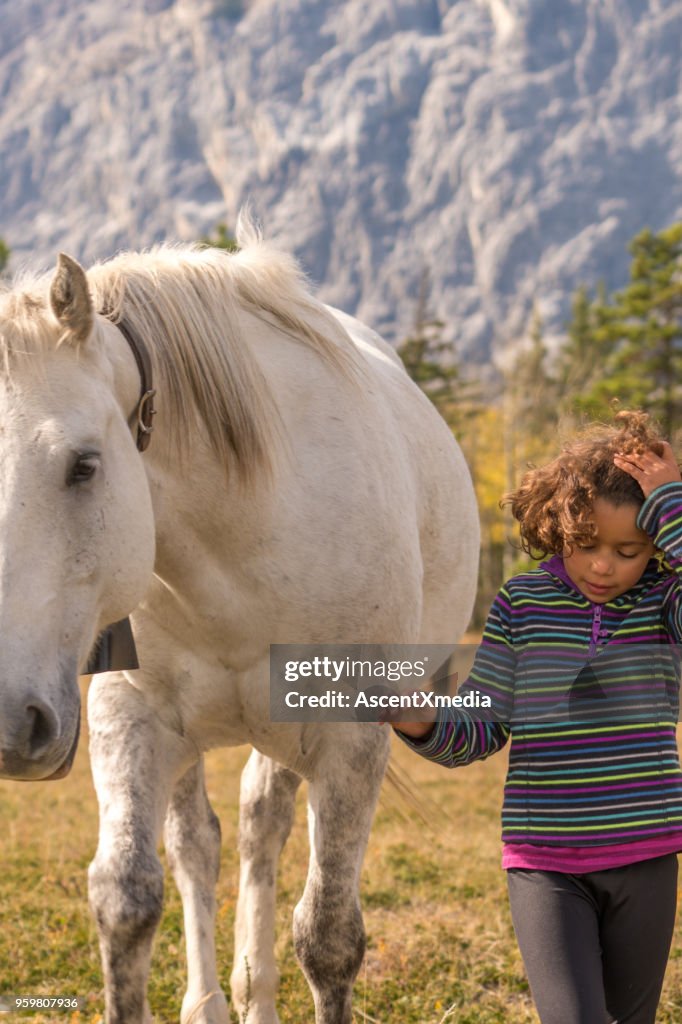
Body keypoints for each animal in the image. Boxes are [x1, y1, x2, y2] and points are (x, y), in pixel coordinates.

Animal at [0, 224, 477, 1024]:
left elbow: (328, 937)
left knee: (261, 829)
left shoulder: (348, 742)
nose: (9, 722)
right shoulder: (130, 720)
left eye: (85, 465)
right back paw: (212, 1001)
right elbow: (127, 898)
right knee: (203, 842)